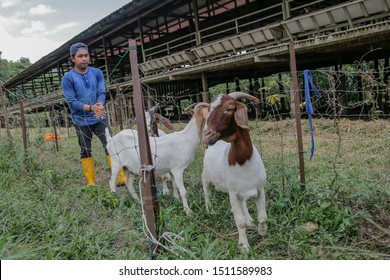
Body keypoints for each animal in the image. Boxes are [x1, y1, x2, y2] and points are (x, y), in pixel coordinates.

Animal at [201, 92, 268, 252]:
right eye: (209, 109)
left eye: (229, 108)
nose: (206, 135)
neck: (244, 161)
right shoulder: (232, 193)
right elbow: (240, 222)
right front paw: (244, 246)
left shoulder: (260, 189)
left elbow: (263, 216)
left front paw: (262, 231)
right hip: (206, 175)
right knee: (207, 191)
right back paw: (209, 210)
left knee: (244, 203)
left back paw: (250, 219)